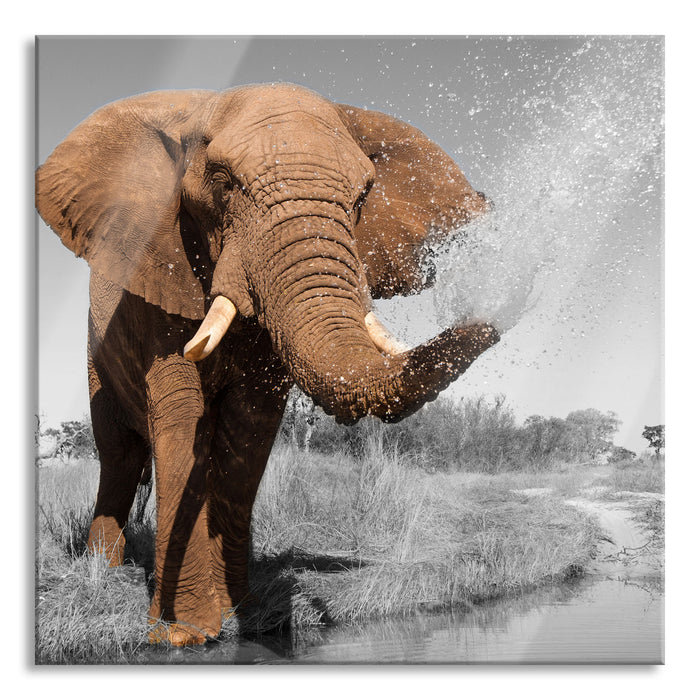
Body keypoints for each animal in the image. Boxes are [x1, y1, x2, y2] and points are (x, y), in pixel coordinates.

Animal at [36, 83, 499, 645]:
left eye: (362, 197)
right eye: (222, 182)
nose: (499, 308)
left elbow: (249, 427)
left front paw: (249, 618)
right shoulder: (160, 277)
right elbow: (180, 416)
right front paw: (183, 635)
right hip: (95, 352)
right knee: (118, 454)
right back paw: (102, 571)